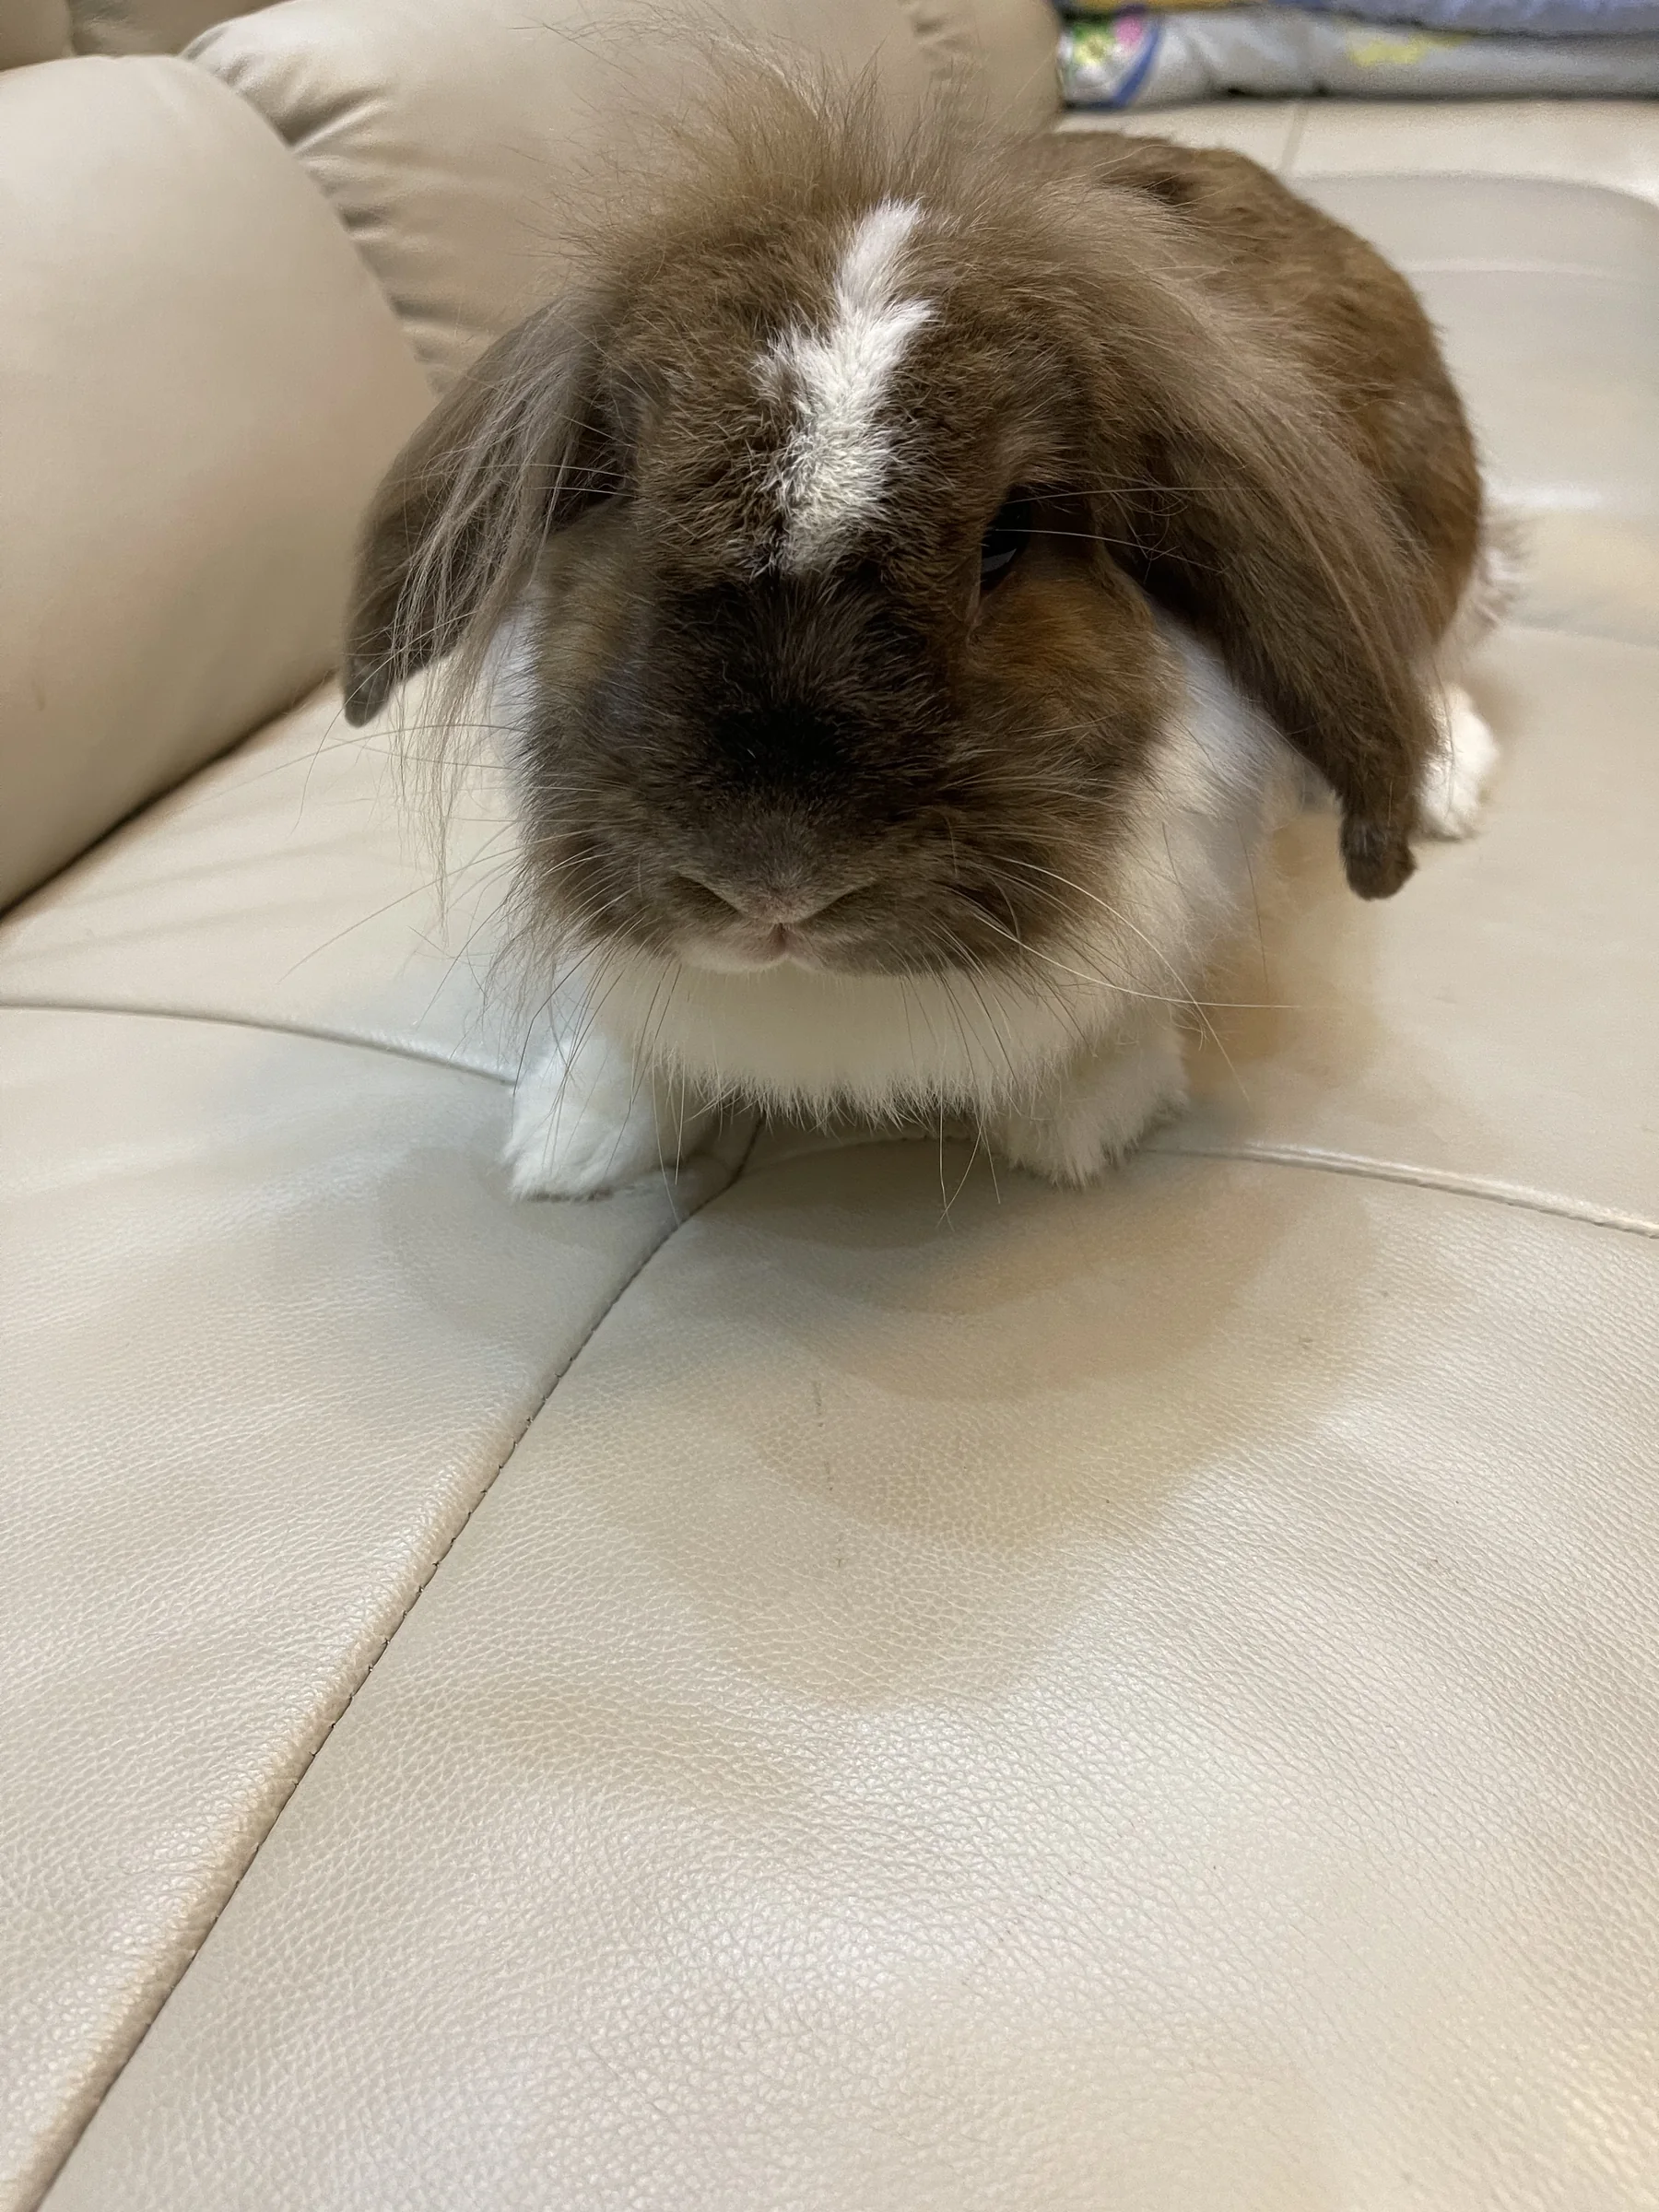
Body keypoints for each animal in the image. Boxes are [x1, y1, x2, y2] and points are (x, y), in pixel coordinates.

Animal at [341, 78, 1511, 1198]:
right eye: (625, 496)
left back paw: (1446, 780)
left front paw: (1074, 1127)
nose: (771, 888)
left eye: (1009, 536)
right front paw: (567, 1146)